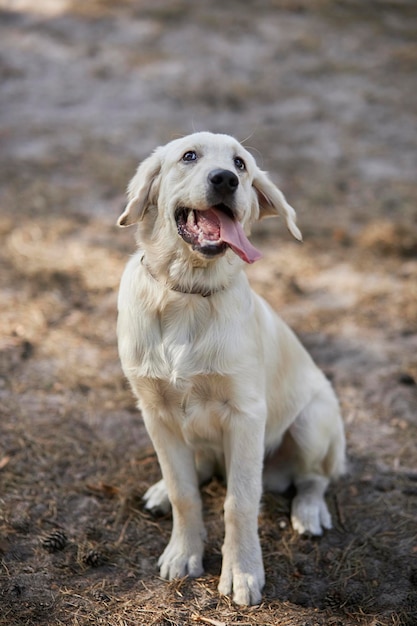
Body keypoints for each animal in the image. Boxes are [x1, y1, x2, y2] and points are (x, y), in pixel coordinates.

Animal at [117, 132, 344, 604]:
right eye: (189, 156)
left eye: (241, 164)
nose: (225, 179)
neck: (187, 293)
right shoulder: (155, 412)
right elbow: (185, 492)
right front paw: (183, 553)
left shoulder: (245, 415)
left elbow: (238, 503)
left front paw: (241, 571)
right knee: (197, 468)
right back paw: (160, 491)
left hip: (313, 421)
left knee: (314, 478)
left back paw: (309, 510)